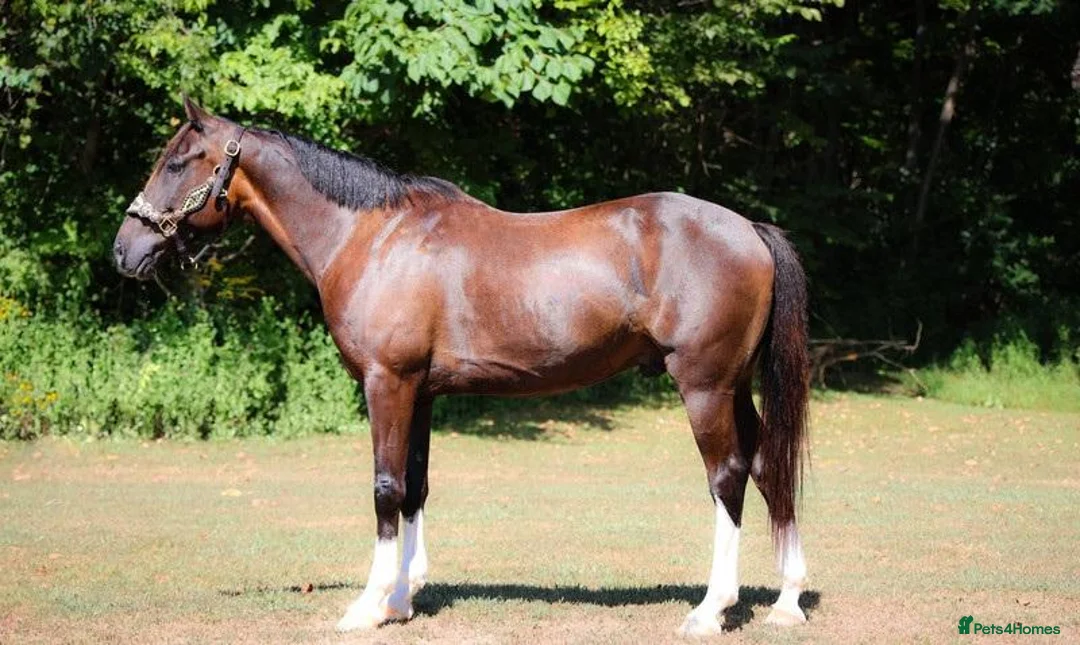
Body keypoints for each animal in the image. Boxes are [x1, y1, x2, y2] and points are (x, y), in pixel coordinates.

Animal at [113, 97, 811, 636]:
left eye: (176, 162)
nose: (125, 249)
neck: (372, 237)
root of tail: (747, 228)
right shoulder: (420, 393)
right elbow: (416, 486)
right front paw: (401, 600)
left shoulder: (387, 384)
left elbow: (385, 488)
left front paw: (367, 606)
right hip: (735, 387)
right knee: (766, 467)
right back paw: (786, 602)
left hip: (704, 387)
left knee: (727, 477)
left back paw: (711, 610)